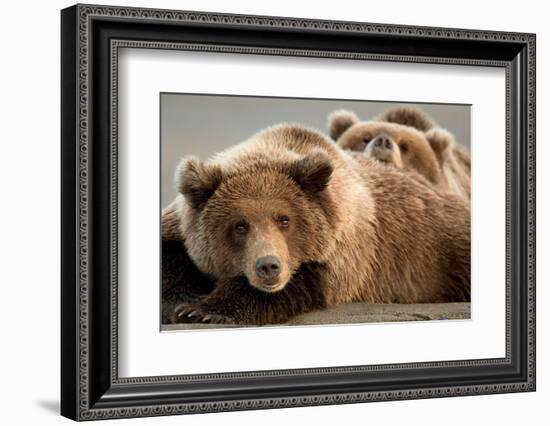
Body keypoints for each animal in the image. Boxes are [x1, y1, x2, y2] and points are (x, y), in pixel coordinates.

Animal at [164, 123, 470, 326]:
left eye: (284, 219)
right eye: (239, 225)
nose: (268, 266)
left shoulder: (343, 249)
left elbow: (303, 282)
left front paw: (204, 309)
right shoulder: (179, 224)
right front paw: (184, 303)